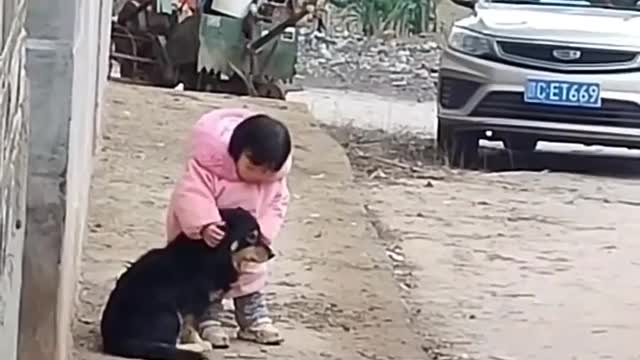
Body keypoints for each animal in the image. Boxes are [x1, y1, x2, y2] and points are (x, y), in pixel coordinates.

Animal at [100, 208, 276, 360]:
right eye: (252, 236)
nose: (272, 254)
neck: (215, 253)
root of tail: (114, 339)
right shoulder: (192, 303)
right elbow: (190, 327)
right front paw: (199, 343)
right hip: (168, 313)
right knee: (166, 345)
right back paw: (195, 349)